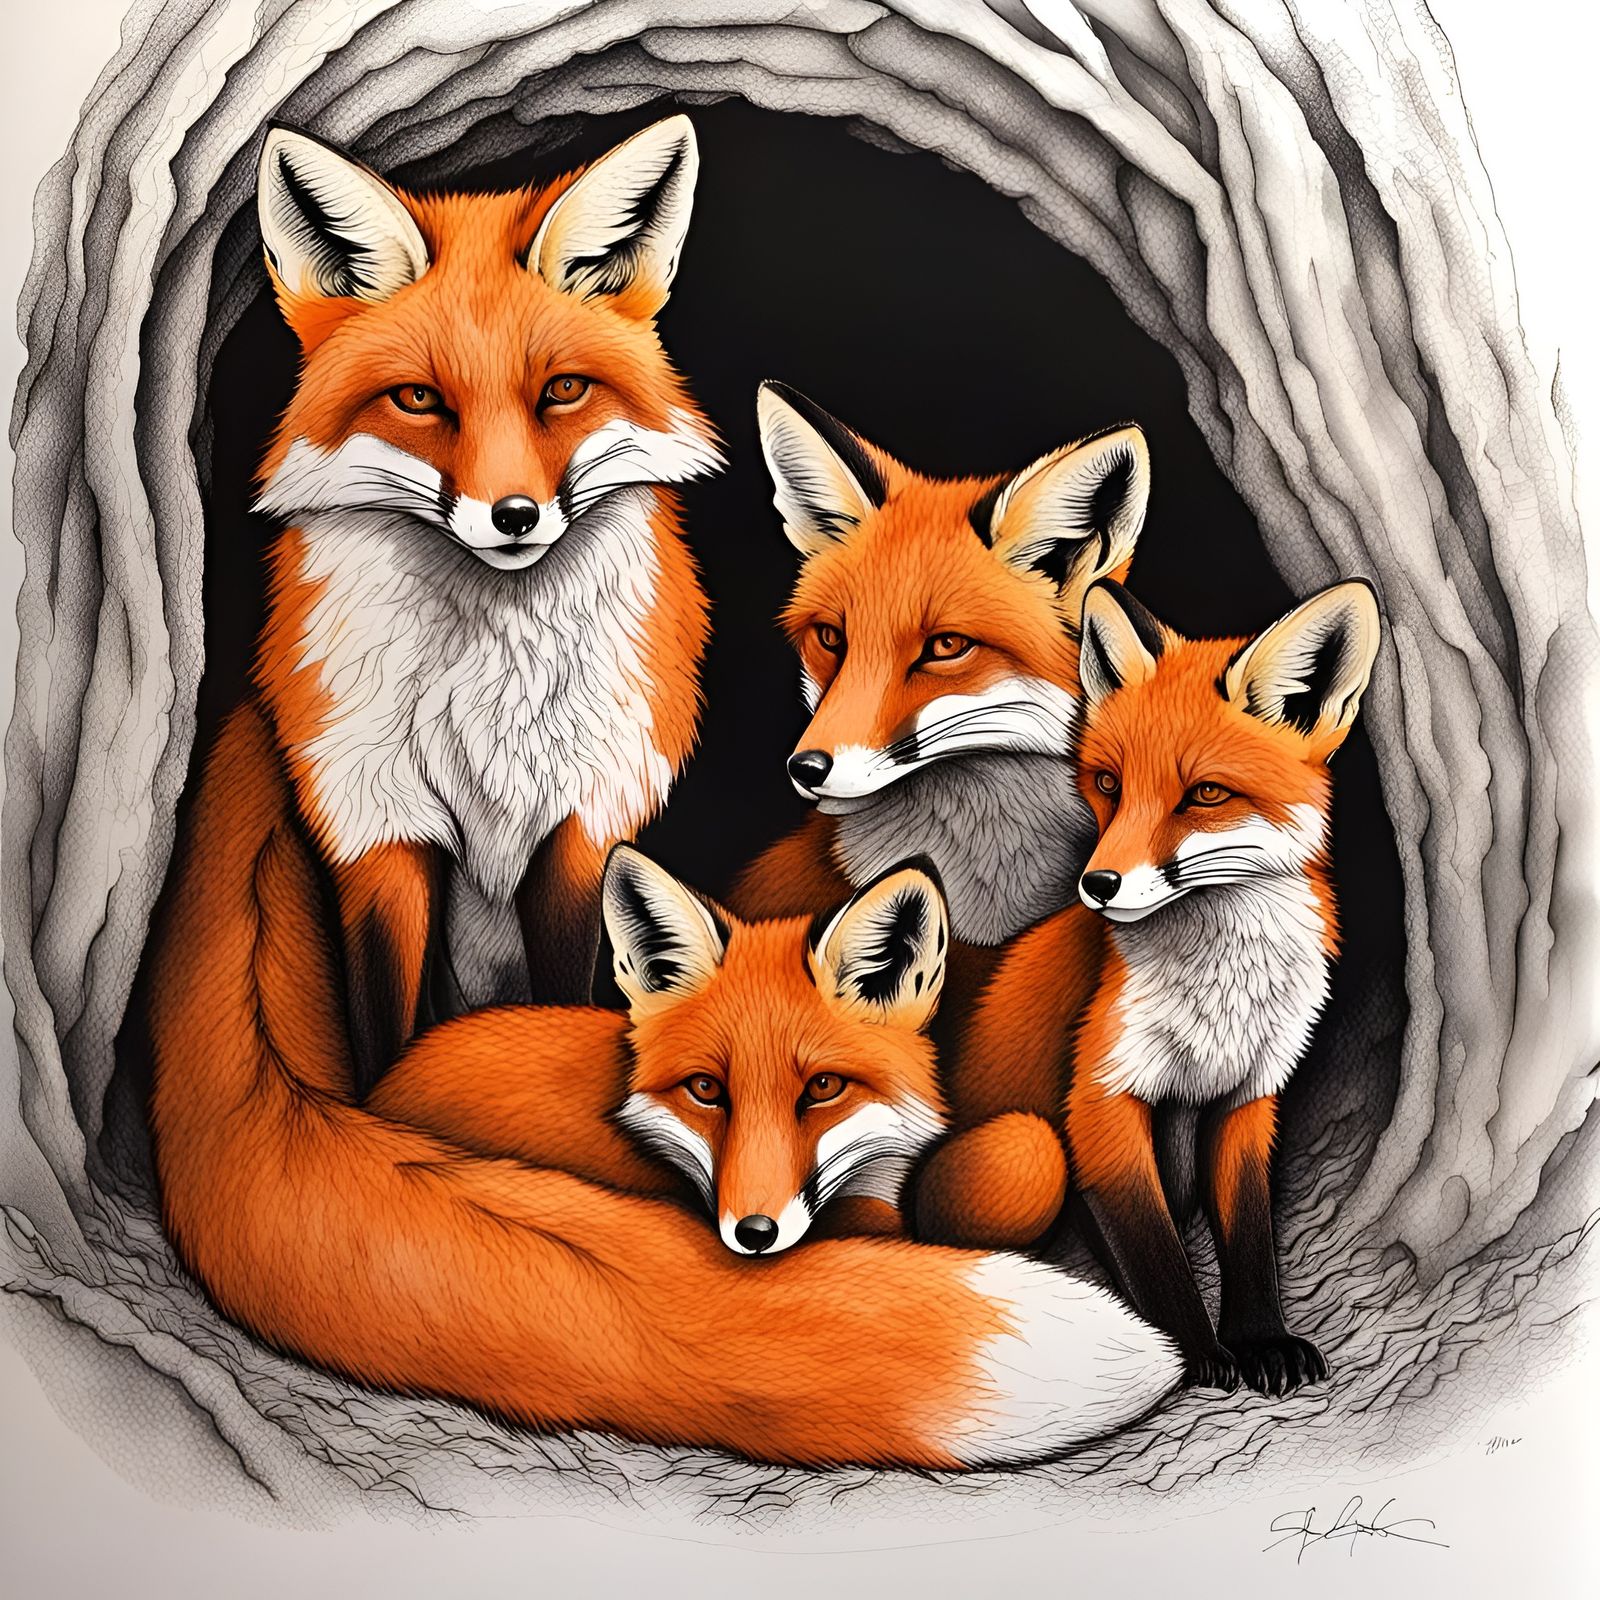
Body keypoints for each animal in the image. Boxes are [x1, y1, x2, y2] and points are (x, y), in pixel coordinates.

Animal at [249, 118, 722, 1090]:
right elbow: (386, 1032)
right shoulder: (376, 822)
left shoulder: (583, 820)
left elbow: (561, 999)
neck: (487, 688)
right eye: (420, 399)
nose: (515, 516)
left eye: (562, 390)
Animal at [957, 576, 1382, 1392]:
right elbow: (1156, 1255)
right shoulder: (1102, 1104)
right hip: (1023, 1145)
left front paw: (1262, 1340)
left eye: (1205, 795)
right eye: (1109, 784)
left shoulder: (1249, 1098)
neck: (1222, 995)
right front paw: (1195, 1354)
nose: (1097, 886)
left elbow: (1248, 1236)